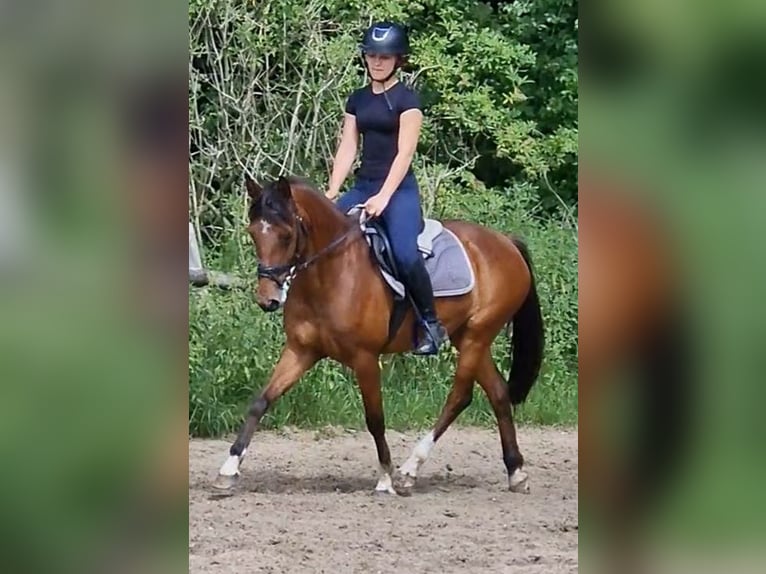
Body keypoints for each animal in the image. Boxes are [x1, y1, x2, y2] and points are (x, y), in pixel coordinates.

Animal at [212, 174, 545, 495]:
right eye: (253, 233)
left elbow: (375, 418)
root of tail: (505, 241)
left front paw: (386, 478)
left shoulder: (365, 358)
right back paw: (516, 472)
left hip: (478, 334)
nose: (267, 300)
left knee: (459, 396)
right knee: (497, 393)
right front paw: (227, 471)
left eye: (285, 234)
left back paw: (410, 470)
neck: (331, 272)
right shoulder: (301, 351)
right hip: (469, 337)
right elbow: (261, 401)